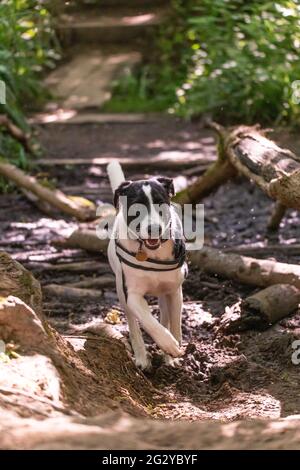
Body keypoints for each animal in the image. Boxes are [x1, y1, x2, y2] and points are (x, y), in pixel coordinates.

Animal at [107, 162, 188, 370]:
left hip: (164, 293)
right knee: (133, 324)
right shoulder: (132, 295)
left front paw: (174, 351)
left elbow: (175, 324)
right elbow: (148, 321)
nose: (154, 229)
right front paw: (167, 344)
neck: (151, 252)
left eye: (160, 202)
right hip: (120, 290)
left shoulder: (175, 291)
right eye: (137, 206)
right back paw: (142, 357)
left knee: (165, 316)